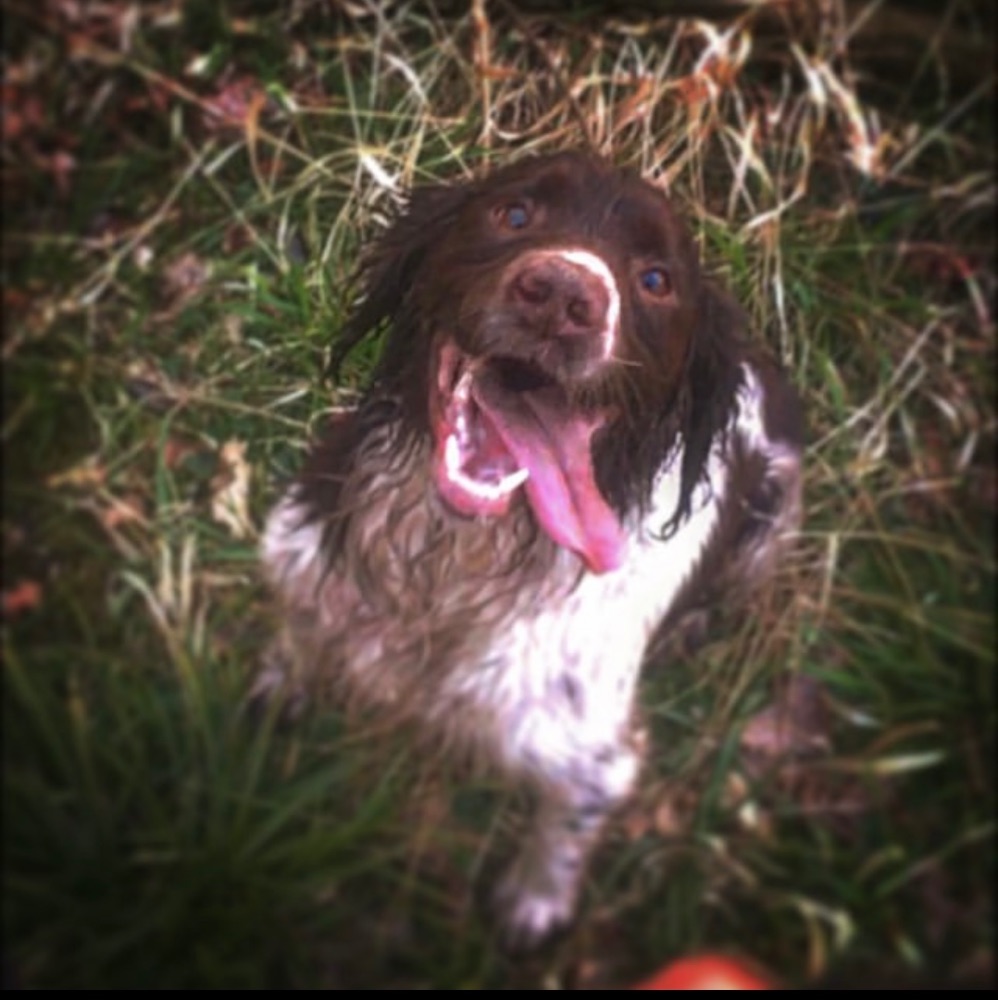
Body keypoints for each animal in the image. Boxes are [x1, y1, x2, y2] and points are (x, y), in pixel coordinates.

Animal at [258, 152, 804, 948]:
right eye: (514, 214)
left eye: (656, 280)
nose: (563, 296)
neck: (452, 563)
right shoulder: (302, 559)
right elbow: (298, 635)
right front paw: (280, 687)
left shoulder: (593, 756)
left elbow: (563, 829)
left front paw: (534, 903)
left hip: (774, 518)